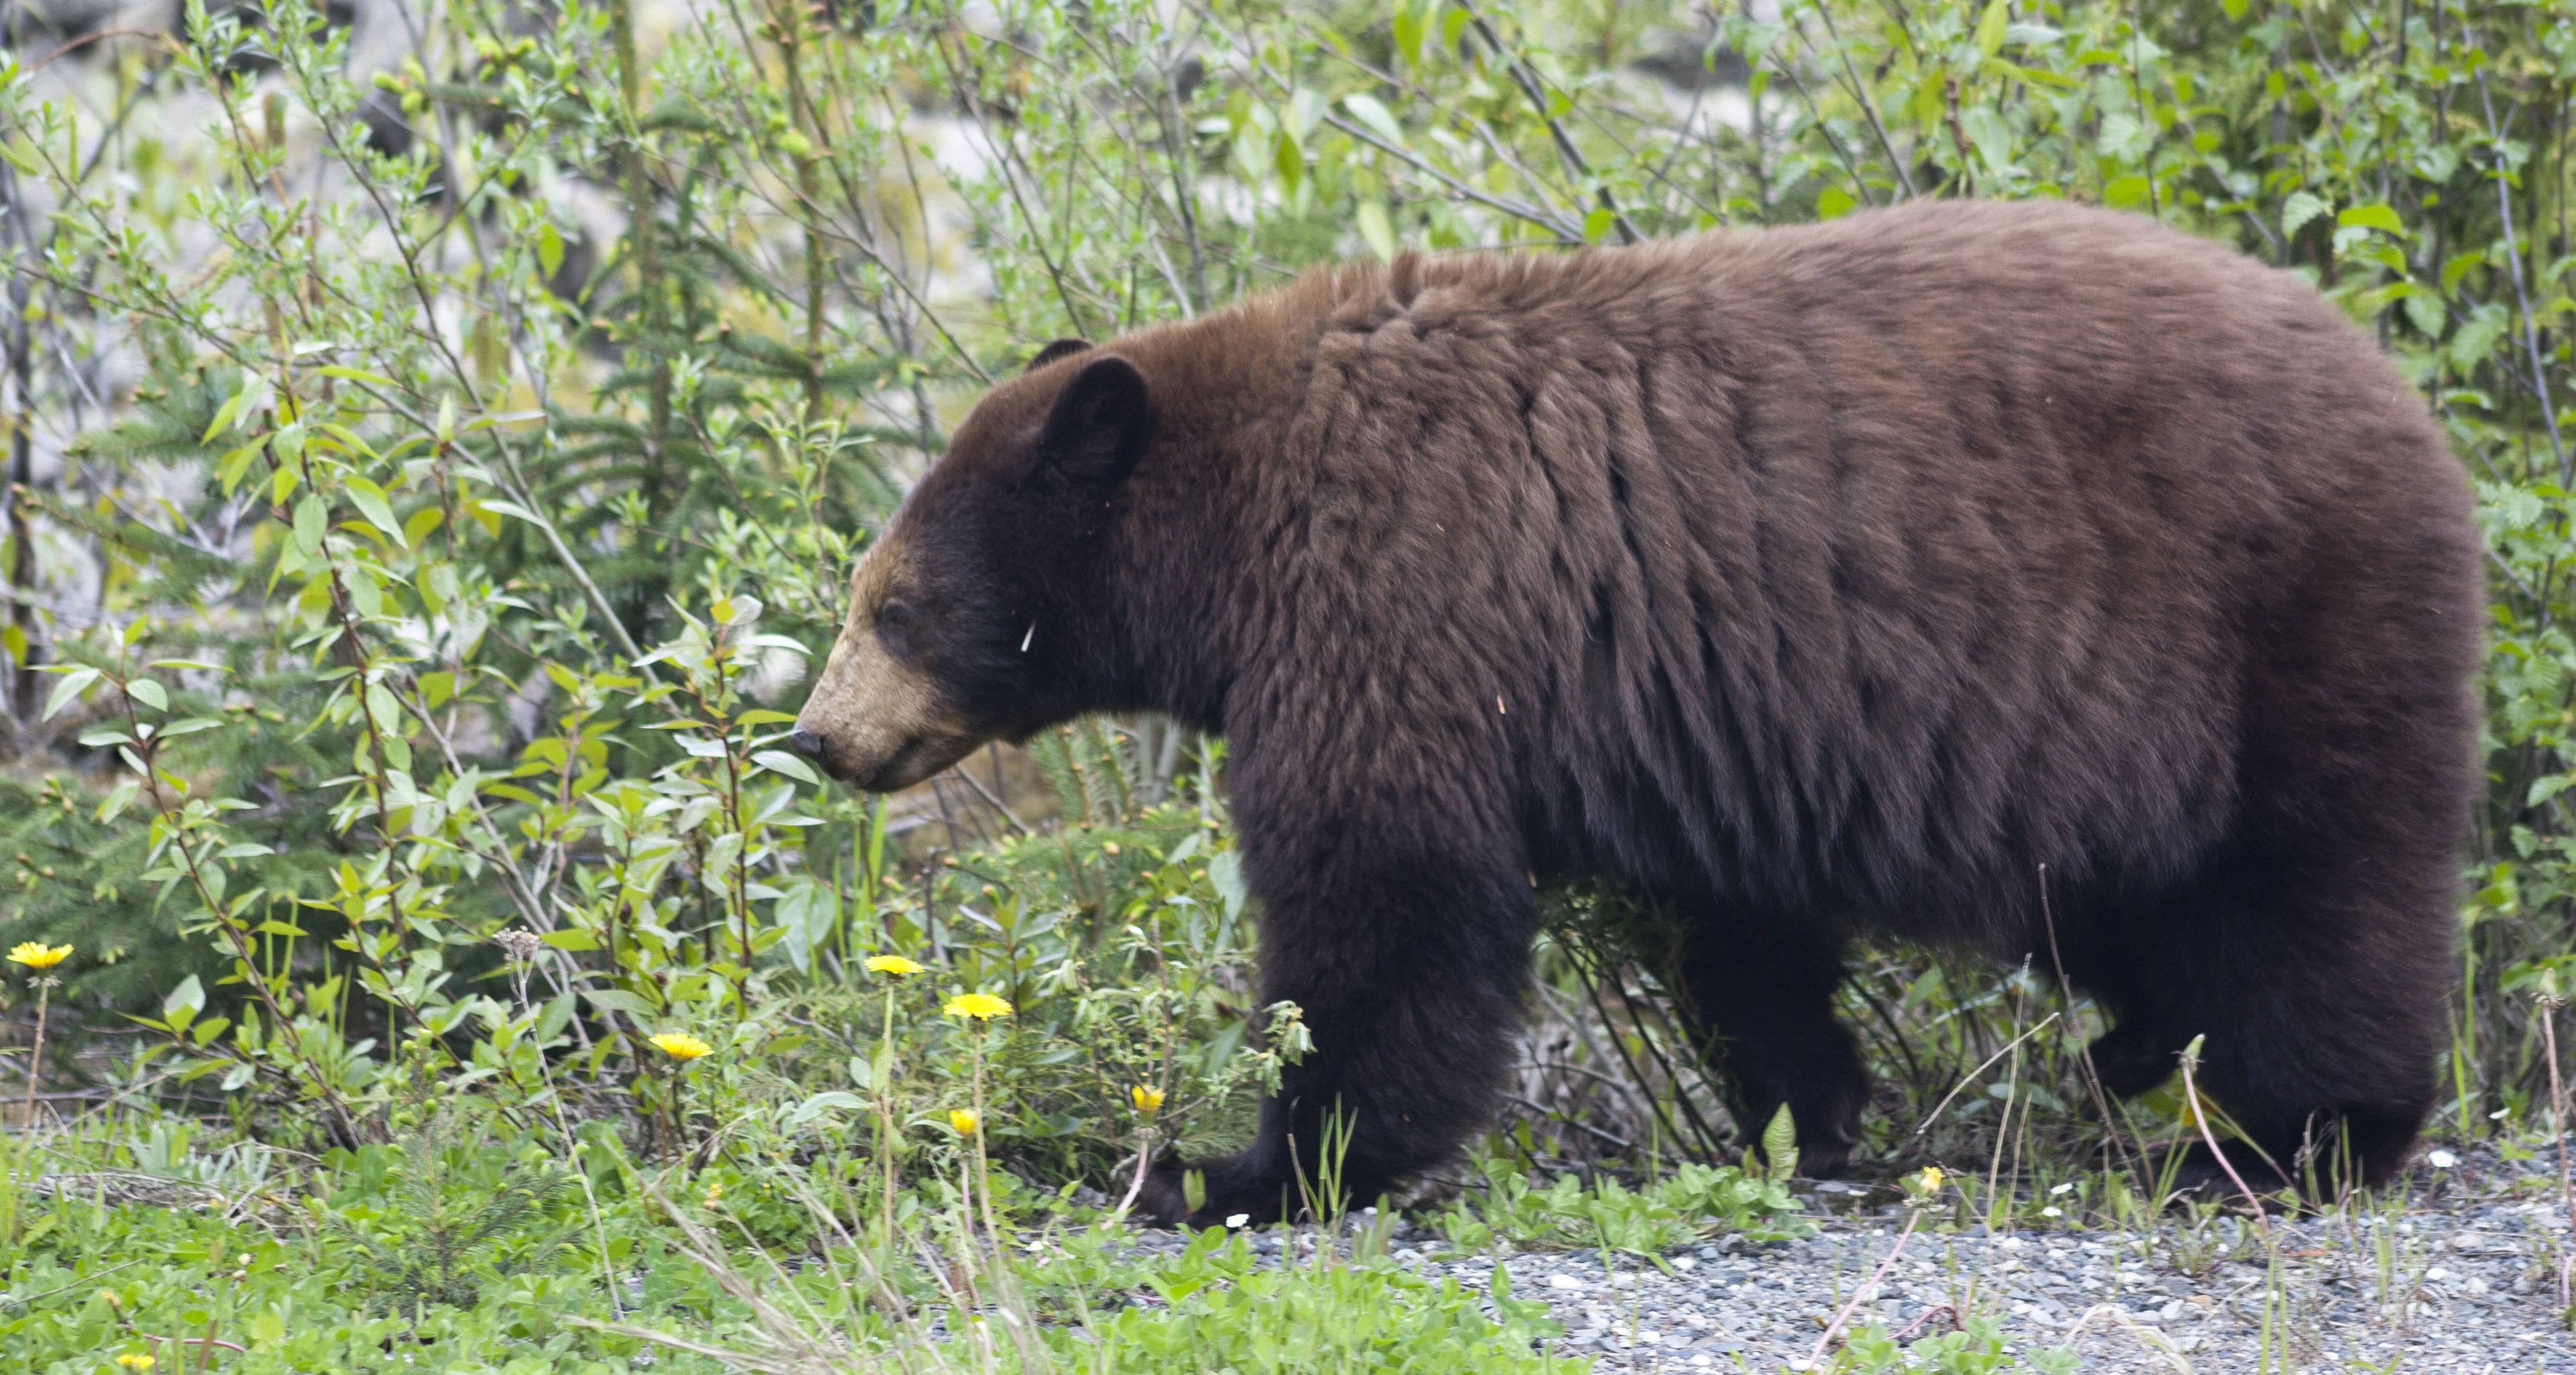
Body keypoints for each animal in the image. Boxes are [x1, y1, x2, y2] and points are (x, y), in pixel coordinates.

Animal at [791, 198, 2483, 1226]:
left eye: (892, 605)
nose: (816, 736)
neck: (1239, 512)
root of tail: (2404, 394)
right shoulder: (1711, 704)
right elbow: (1740, 935)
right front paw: (1807, 1117)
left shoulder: (1392, 598)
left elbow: (1388, 894)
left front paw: (1250, 1166)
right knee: (2159, 910)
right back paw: (2146, 1052)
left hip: (2277, 628)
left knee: (2314, 896)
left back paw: (2293, 1141)